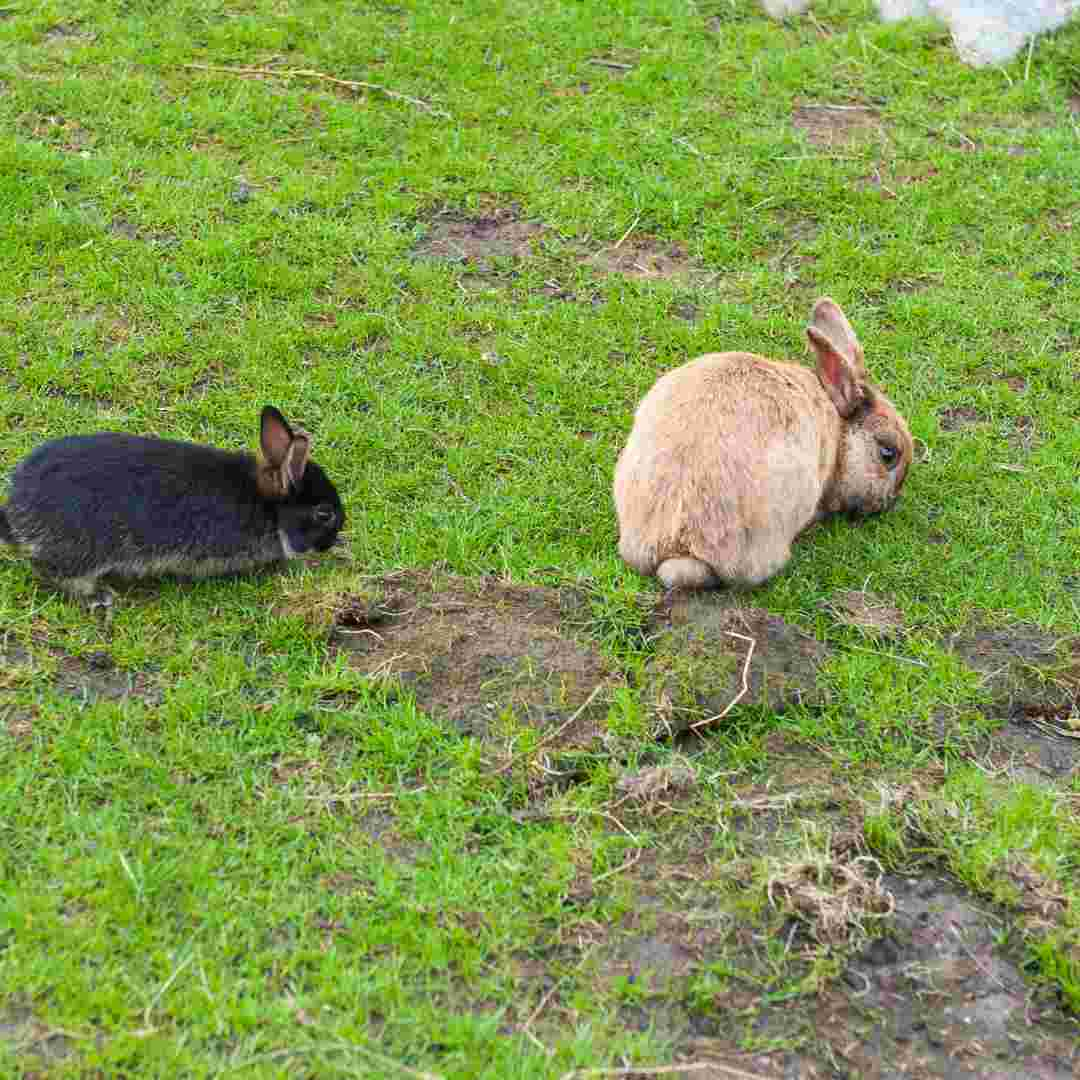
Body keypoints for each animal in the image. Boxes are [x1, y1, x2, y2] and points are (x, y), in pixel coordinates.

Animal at [0, 406, 343, 613]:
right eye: (324, 514)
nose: (330, 543)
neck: (267, 506)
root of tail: (17, 510)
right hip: (82, 550)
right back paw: (99, 596)